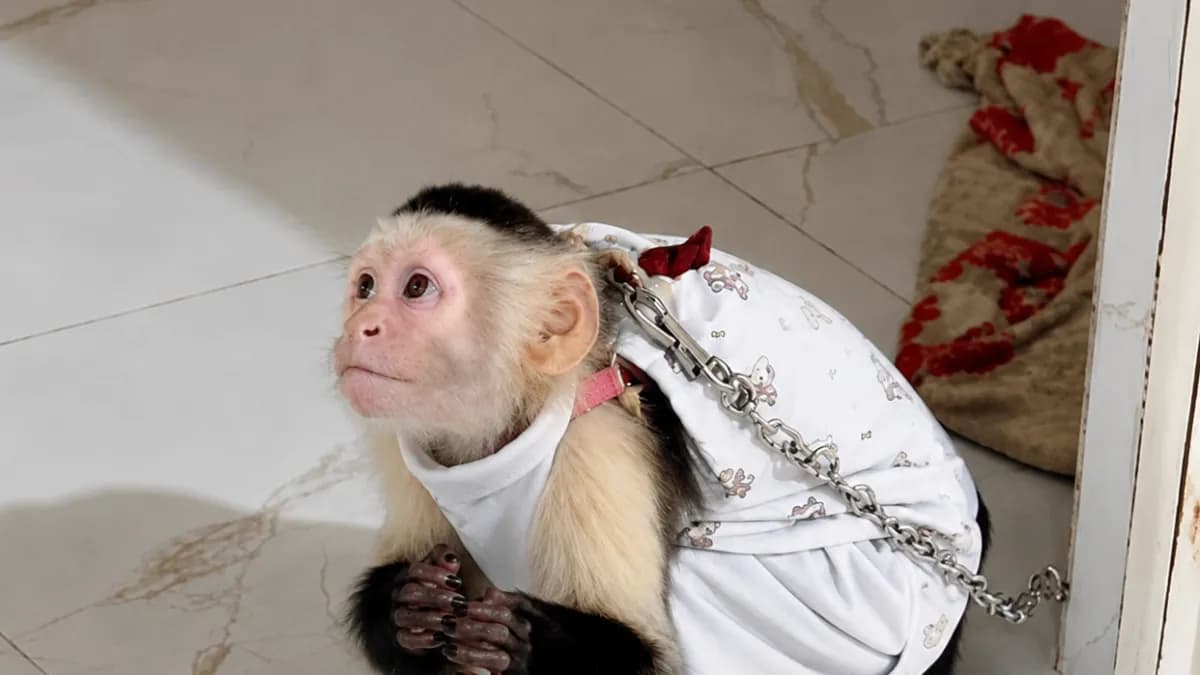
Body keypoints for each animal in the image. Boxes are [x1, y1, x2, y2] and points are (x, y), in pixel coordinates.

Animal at [333, 183, 991, 675]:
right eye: (365, 287)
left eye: (417, 287)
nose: (359, 327)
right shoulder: (413, 441)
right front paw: (409, 608)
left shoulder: (602, 444)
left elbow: (646, 655)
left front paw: (519, 644)